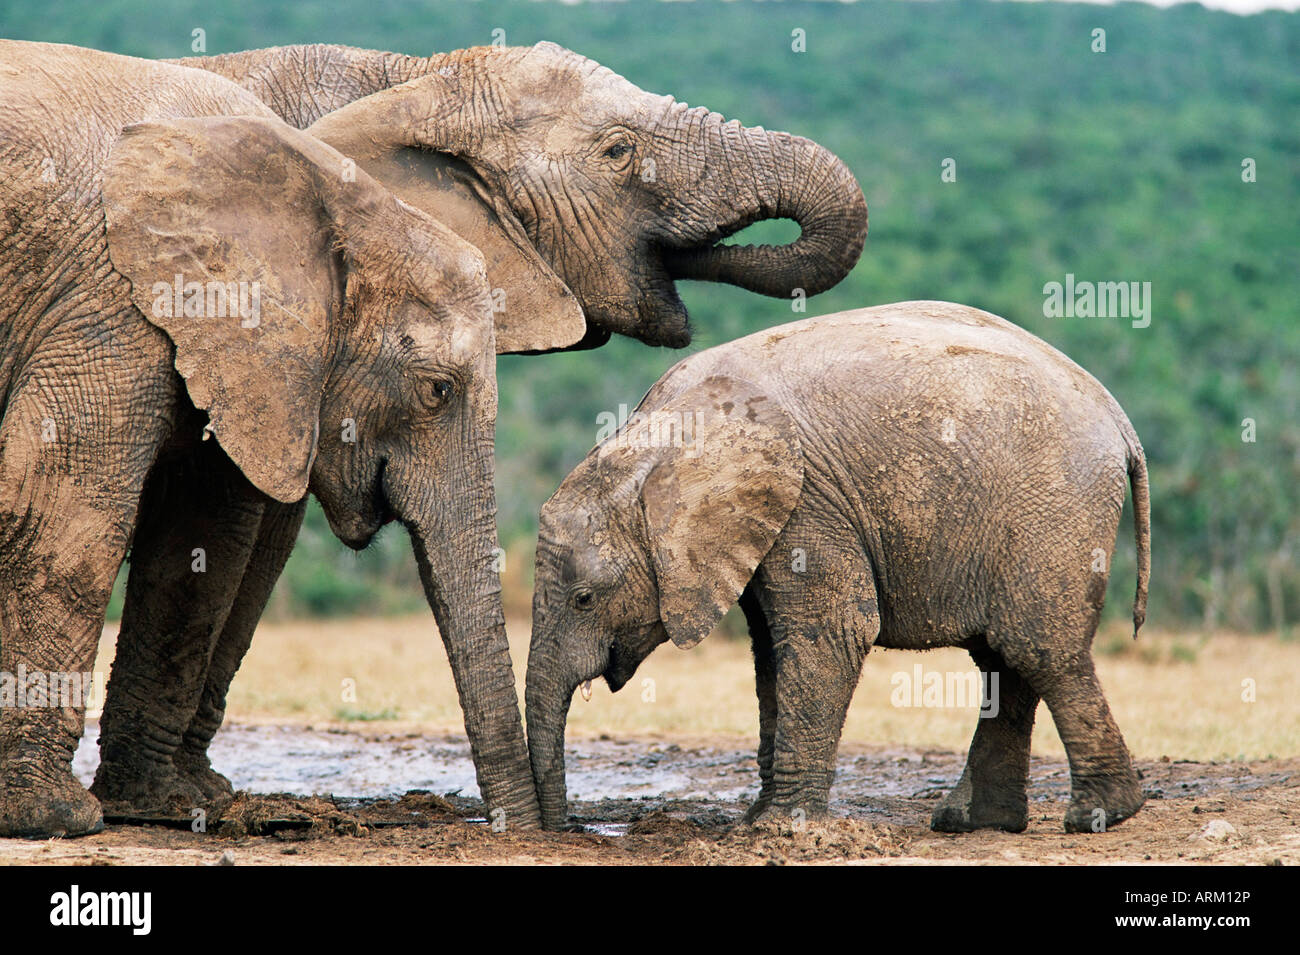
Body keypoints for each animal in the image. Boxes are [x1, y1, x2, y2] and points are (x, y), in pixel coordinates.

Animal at [83, 41, 873, 826]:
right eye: (619, 152)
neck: (414, 76)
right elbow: (239, 525)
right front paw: (178, 799)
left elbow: (263, 537)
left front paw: (201, 792)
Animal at [522, 302, 1154, 831]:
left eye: (584, 598)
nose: (569, 828)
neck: (657, 439)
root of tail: (1118, 417)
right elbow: (770, 648)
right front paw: (756, 822)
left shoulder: (808, 500)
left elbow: (828, 633)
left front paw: (781, 828)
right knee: (1003, 655)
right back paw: (974, 823)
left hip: (1054, 505)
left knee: (1037, 647)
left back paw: (1100, 816)